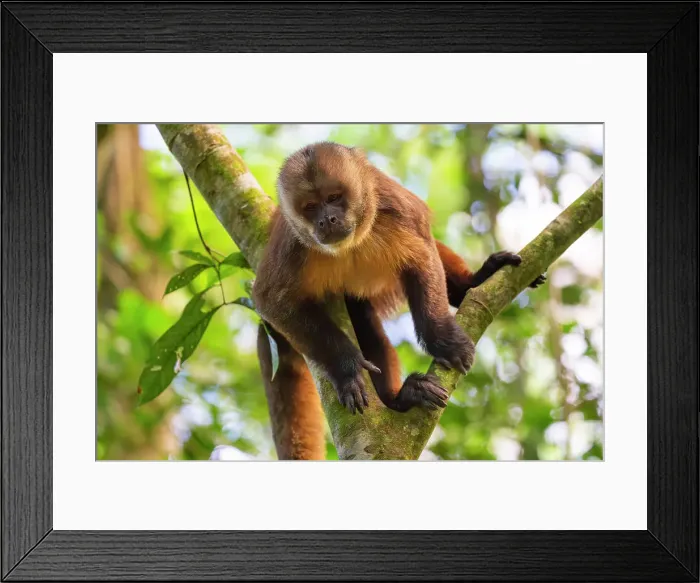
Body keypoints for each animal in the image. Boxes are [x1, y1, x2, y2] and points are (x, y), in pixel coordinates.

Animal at [253, 141, 545, 428]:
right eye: (311, 207)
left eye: (334, 198)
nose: (327, 220)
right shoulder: (292, 246)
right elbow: (272, 301)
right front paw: (346, 368)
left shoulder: (394, 207)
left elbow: (422, 254)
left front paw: (443, 339)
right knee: (365, 326)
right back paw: (401, 400)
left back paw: (472, 283)